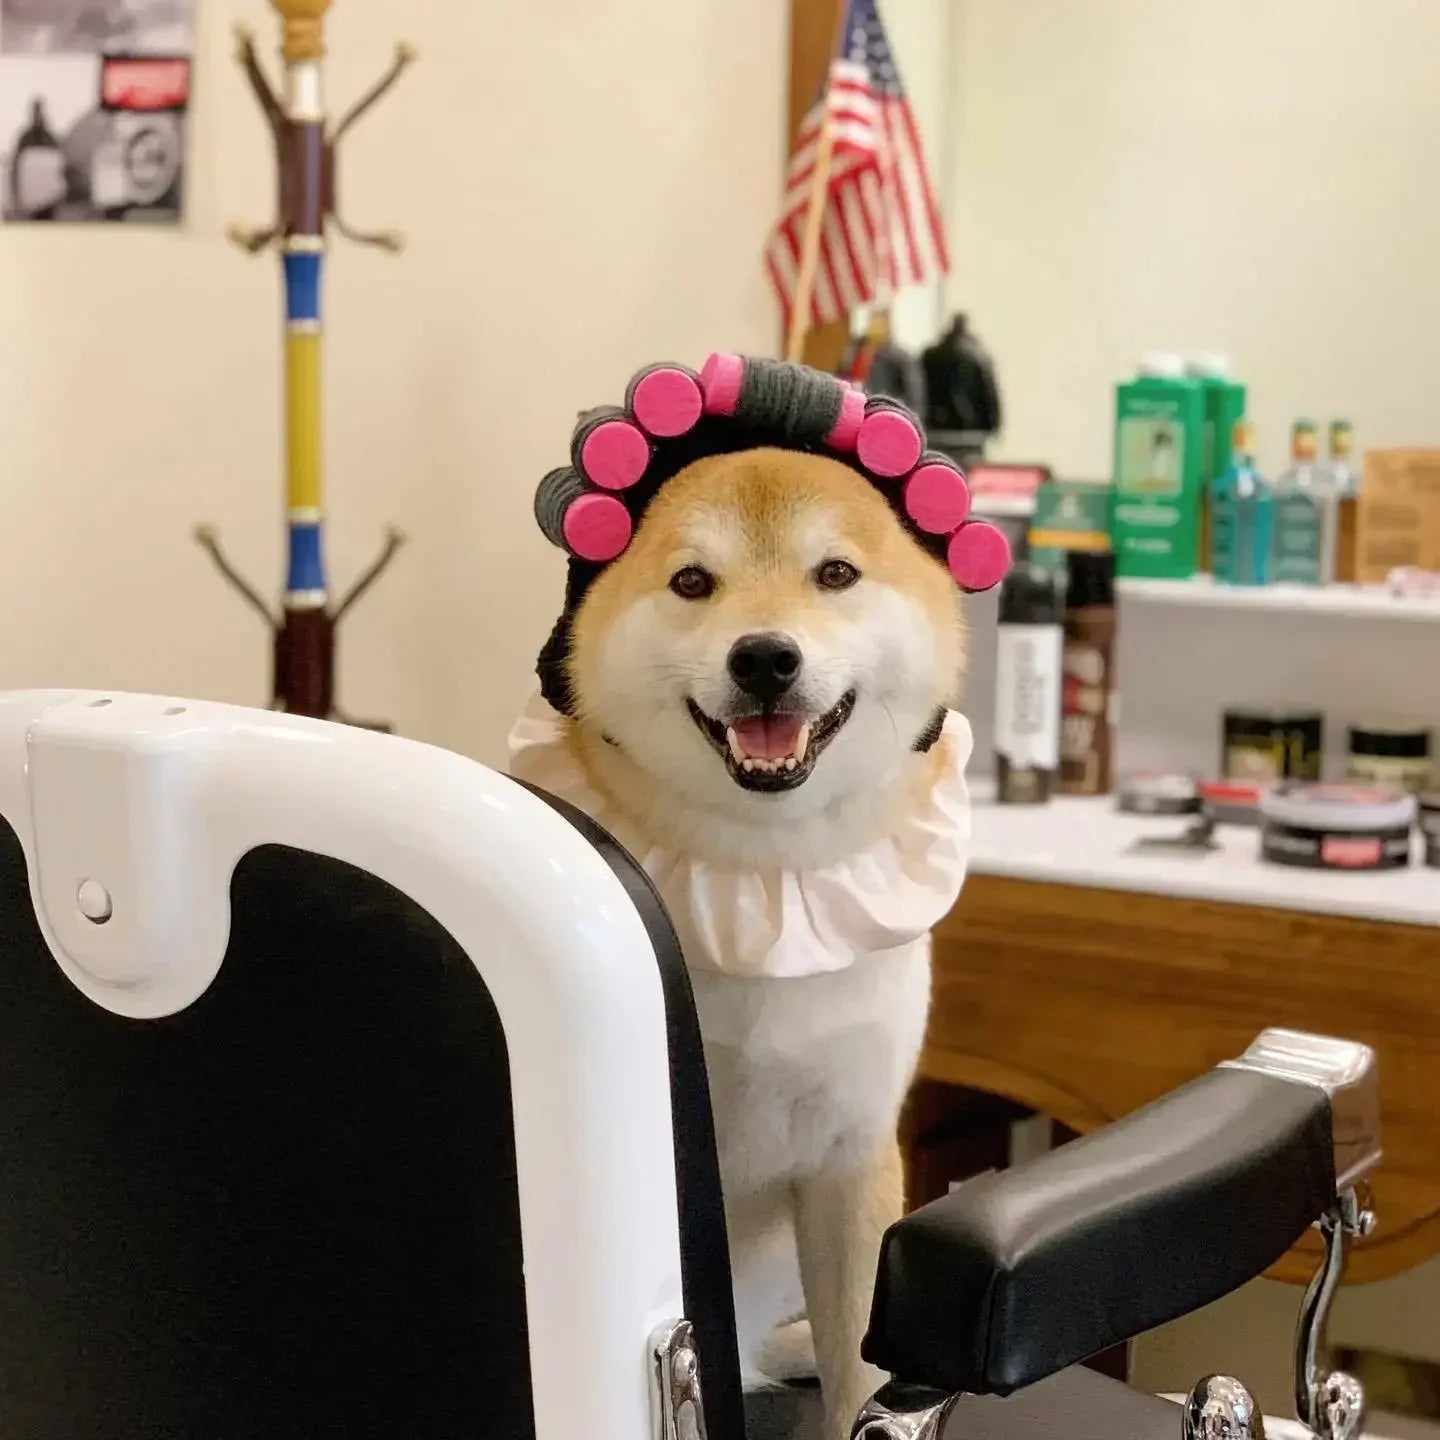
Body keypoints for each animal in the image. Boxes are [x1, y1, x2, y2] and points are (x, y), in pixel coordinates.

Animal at [509, 432, 979, 1434]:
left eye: (835, 573)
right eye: (693, 581)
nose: (765, 657)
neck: (762, 877)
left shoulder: (851, 1155)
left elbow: (862, 1369)